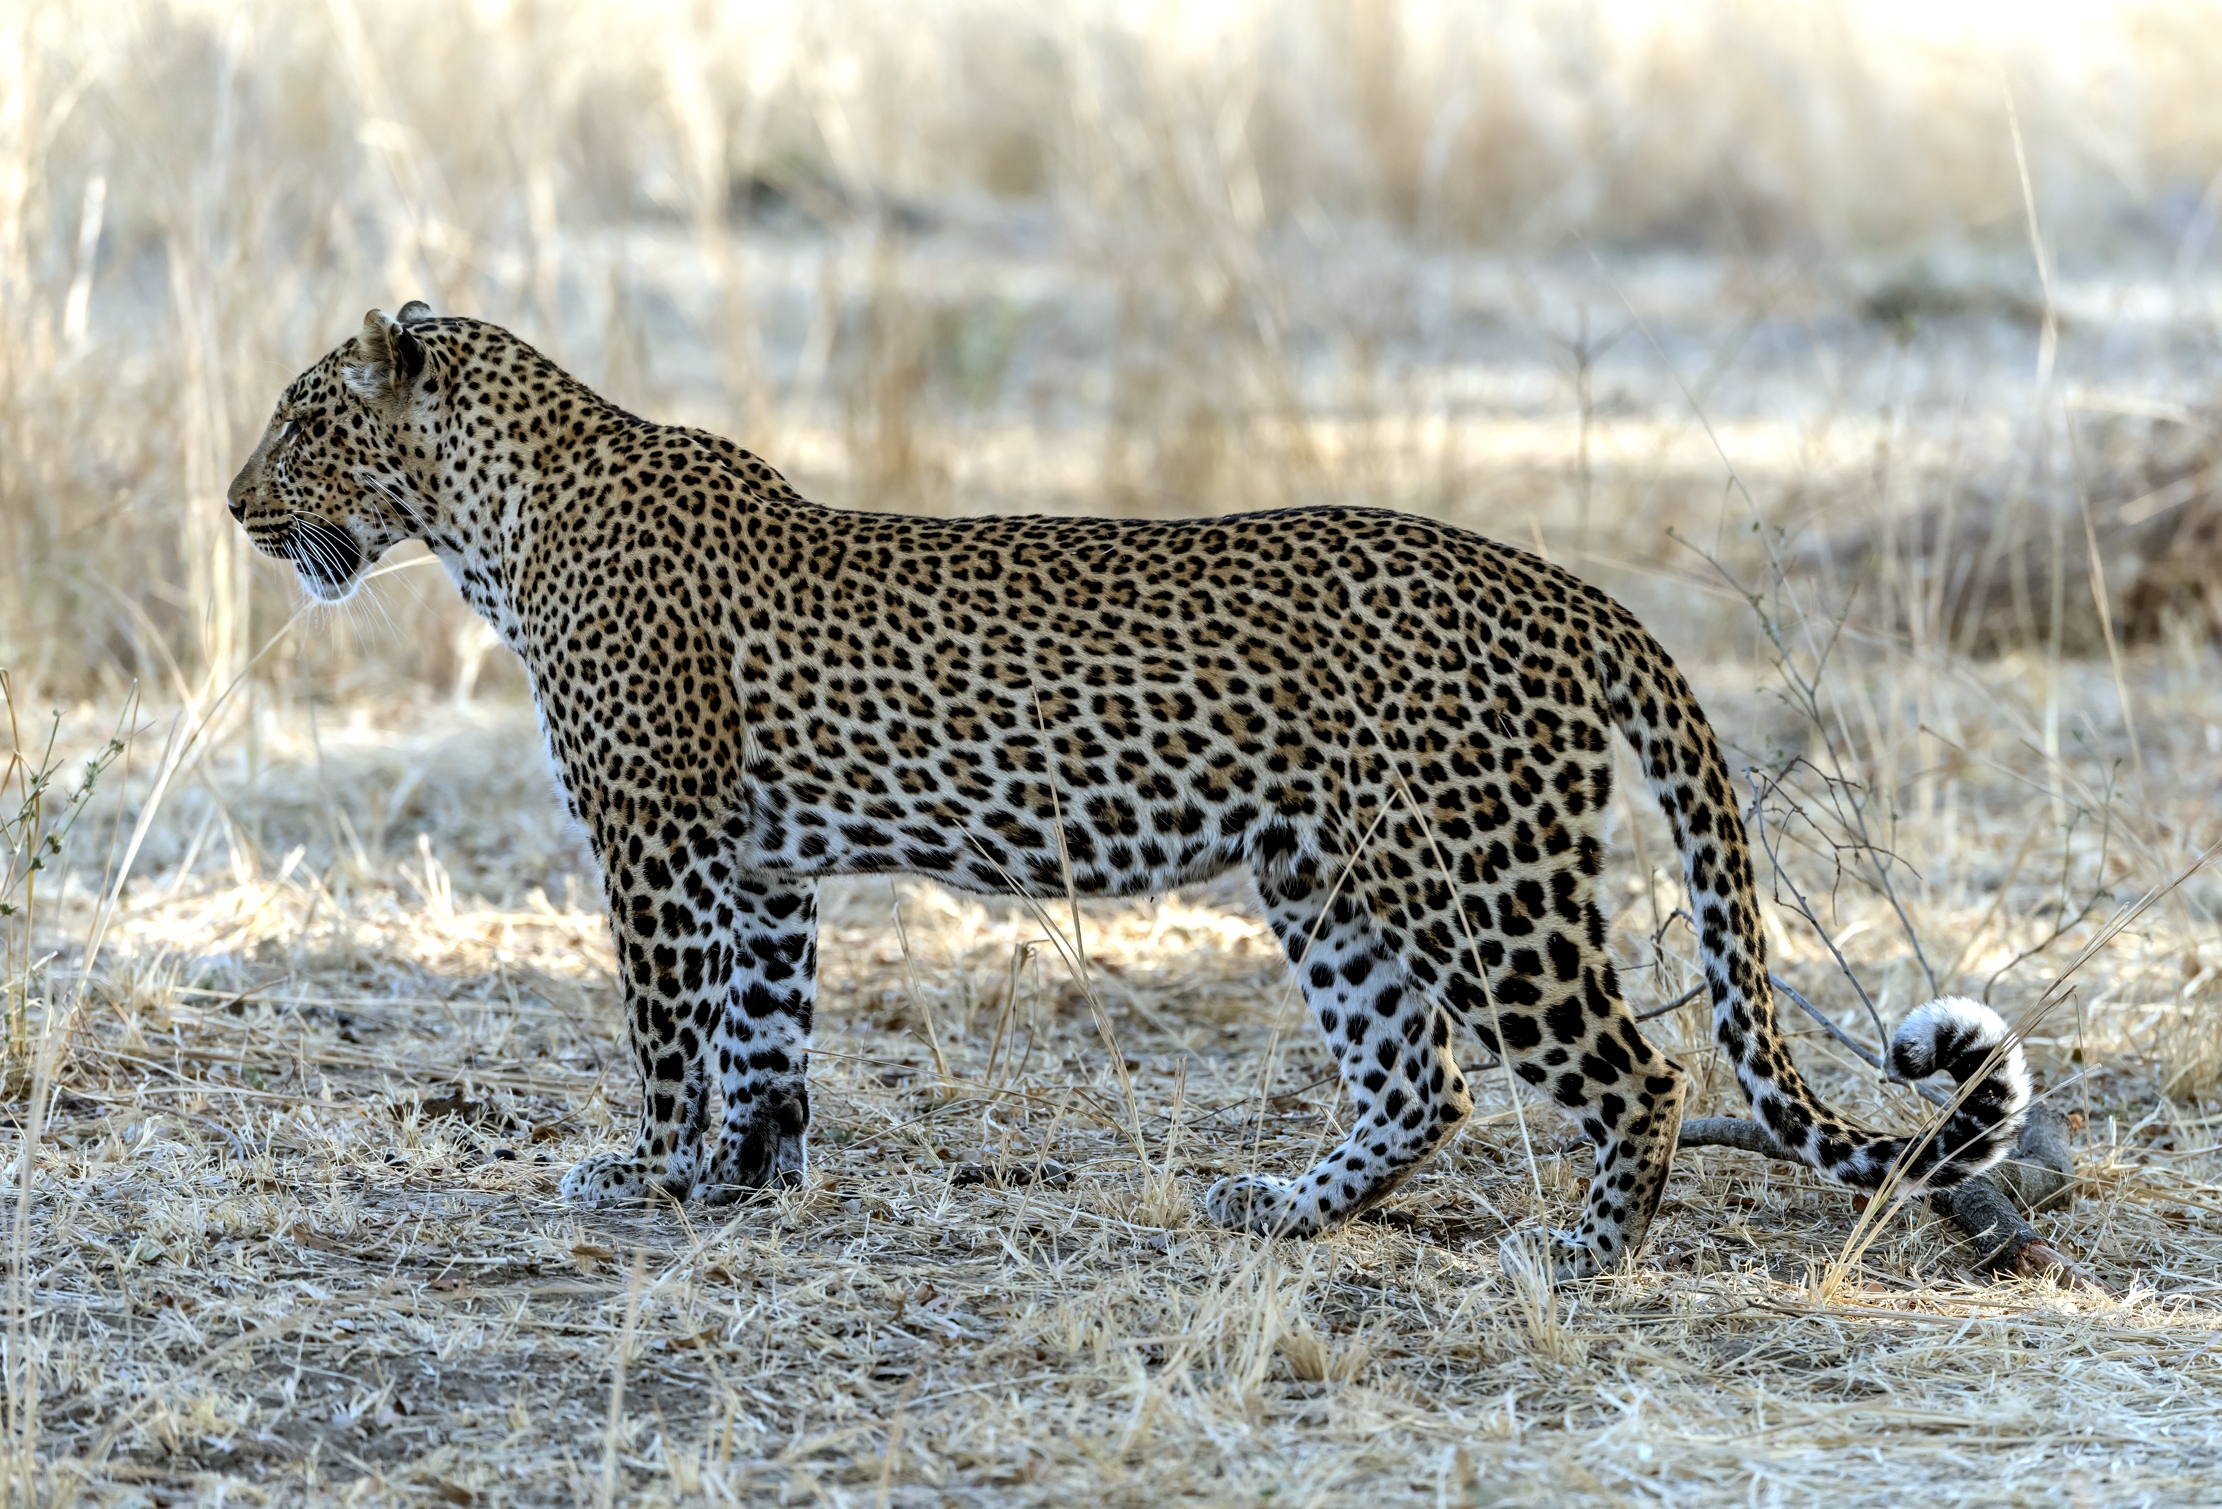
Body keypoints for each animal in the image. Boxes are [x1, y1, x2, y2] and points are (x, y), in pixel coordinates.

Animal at [226, 302, 2032, 1282]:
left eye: (302, 419)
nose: (234, 503)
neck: (496, 522)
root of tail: (1563, 588)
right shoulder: (762, 865)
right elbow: (767, 1035)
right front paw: (749, 1176)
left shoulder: (657, 844)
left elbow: (673, 1028)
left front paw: (650, 1170)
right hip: (1326, 878)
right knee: (1416, 1079)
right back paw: (1279, 1205)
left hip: (1475, 878)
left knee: (1632, 1066)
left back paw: (1578, 1255)